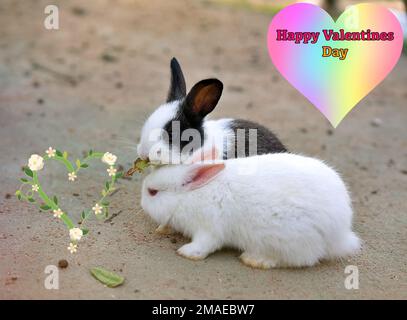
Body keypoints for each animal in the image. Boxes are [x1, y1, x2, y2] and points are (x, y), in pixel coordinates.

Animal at [142, 151, 362, 268]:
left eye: (152, 192)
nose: (142, 204)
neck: (189, 196)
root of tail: (340, 233)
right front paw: (162, 229)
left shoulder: (209, 229)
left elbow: (204, 245)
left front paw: (186, 252)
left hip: (287, 240)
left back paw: (254, 259)